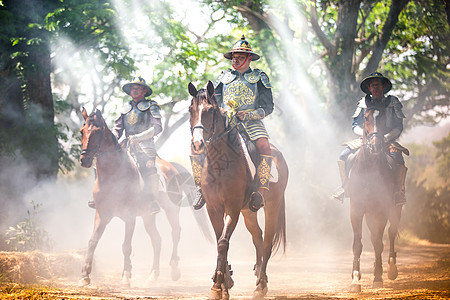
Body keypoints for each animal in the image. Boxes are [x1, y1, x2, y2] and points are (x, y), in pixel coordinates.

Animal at [78, 108, 203, 288]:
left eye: (98, 131)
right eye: (82, 131)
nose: (84, 160)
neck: (114, 174)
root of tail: (172, 167)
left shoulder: (129, 216)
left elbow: (126, 246)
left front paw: (126, 276)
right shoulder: (102, 214)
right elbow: (92, 241)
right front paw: (85, 276)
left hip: (171, 209)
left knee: (175, 232)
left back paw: (174, 270)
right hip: (147, 216)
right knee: (157, 240)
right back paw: (153, 276)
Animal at [188, 82, 290, 300]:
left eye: (210, 111)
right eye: (191, 110)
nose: (197, 144)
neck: (219, 163)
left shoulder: (232, 208)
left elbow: (223, 243)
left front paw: (219, 286)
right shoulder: (213, 208)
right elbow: (220, 240)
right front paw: (224, 282)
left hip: (272, 205)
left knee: (267, 241)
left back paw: (261, 286)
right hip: (248, 211)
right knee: (257, 236)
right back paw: (259, 276)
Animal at [346, 104, 402, 292]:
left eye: (384, 117)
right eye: (366, 118)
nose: (376, 145)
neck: (369, 169)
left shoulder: (381, 210)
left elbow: (378, 242)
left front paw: (377, 278)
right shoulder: (356, 210)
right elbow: (357, 244)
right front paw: (355, 279)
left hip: (395, 209)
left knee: (391, 233)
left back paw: (391, 269)